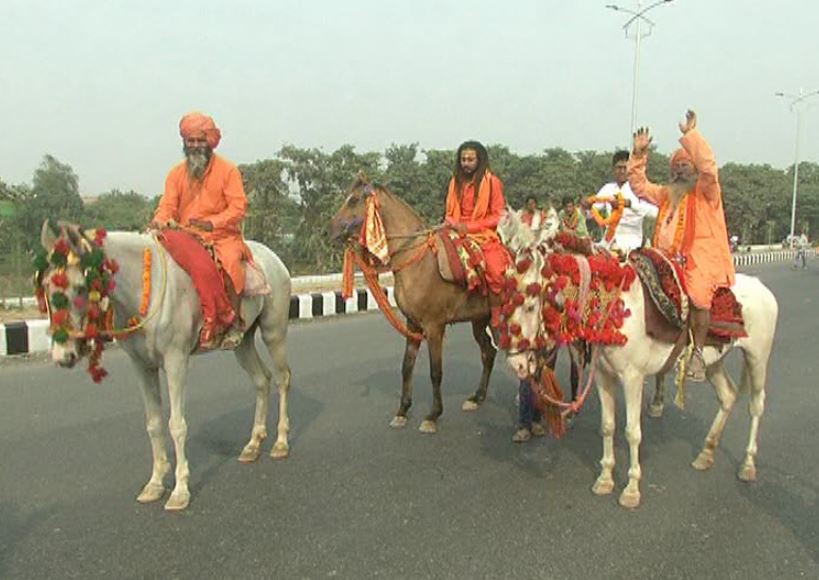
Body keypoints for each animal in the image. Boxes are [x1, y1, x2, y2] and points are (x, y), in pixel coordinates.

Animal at [328, 174, 500, 432]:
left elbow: (435, 372)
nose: (329, 229)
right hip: (479, 320)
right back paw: (477, 397)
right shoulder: (413, 323)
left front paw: (433, 415)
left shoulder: (434, 326)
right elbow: (406, 366)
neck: (415, 261)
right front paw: (402, 411)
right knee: (488, 352)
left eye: (354, 200)